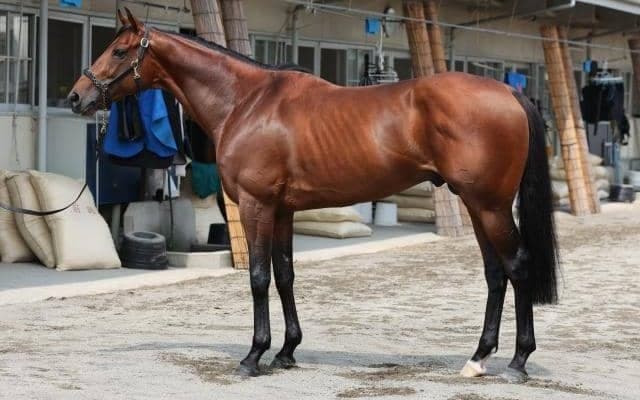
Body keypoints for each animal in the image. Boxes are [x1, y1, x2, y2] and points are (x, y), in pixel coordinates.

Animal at [68, 9, 558, 383]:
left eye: (118, 51)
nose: (76, 97)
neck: (247, 101)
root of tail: (510, 92)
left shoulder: (256, 205)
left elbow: (258, 278)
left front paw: (253, 356)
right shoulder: (282, 210)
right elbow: (285, 275)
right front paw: (286, 352)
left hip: (490, 206)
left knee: (517, 267)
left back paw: (517, 362)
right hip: (476, 205)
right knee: (495, 274)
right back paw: (477, 359)